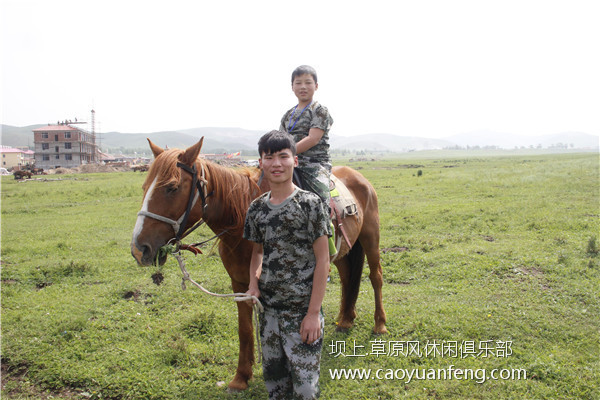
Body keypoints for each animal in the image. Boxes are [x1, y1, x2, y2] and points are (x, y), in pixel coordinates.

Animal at [129, 138, 386, 390]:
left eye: (172, 187)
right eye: (144, 187)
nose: (139, 249)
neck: (242, 221)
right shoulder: (239, 283)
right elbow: (245, 328)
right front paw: (241, 377)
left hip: (371, 238)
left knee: (376, 277)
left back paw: (379, 325)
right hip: (344, 252)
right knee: (347, 279)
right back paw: (345, 319)